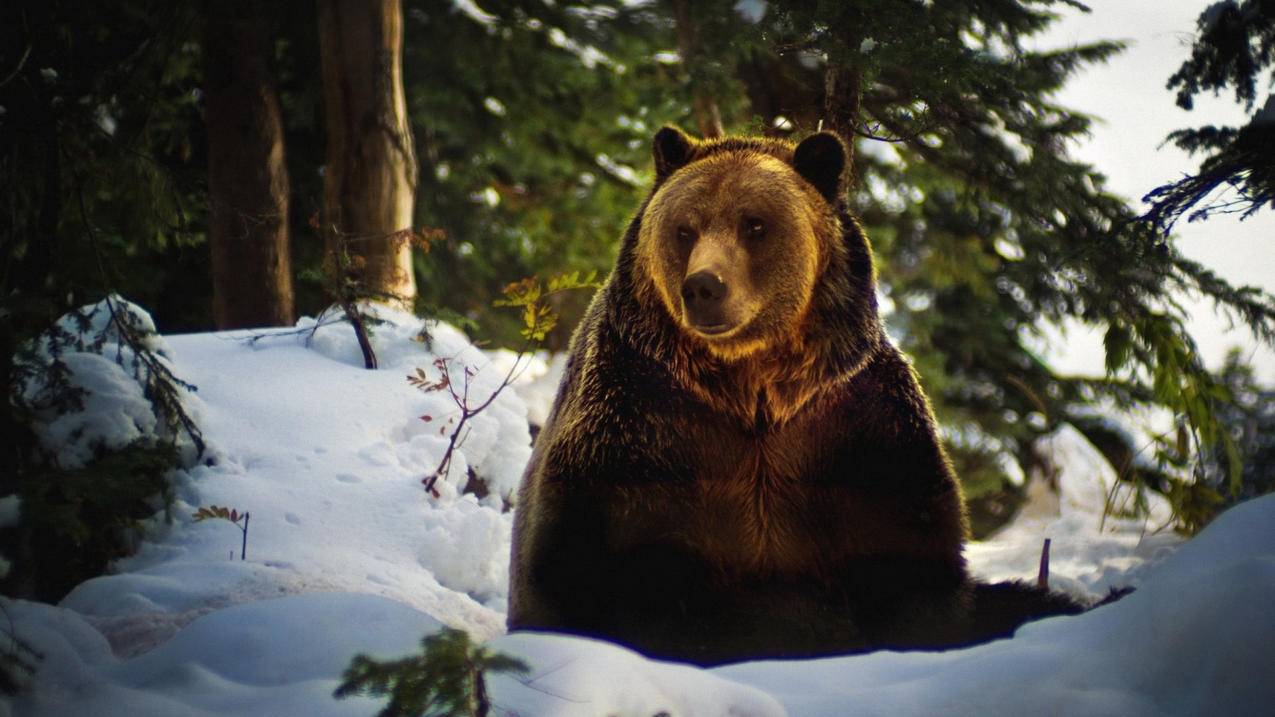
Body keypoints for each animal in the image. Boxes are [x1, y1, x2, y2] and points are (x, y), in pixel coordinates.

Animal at [502, 124, 1081, 663]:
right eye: (684, 228)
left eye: (754, 223)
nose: (704, 286)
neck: (753, 387)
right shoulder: (639, 423)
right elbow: (592, 567)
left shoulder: (856, 427)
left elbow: (912, 561)